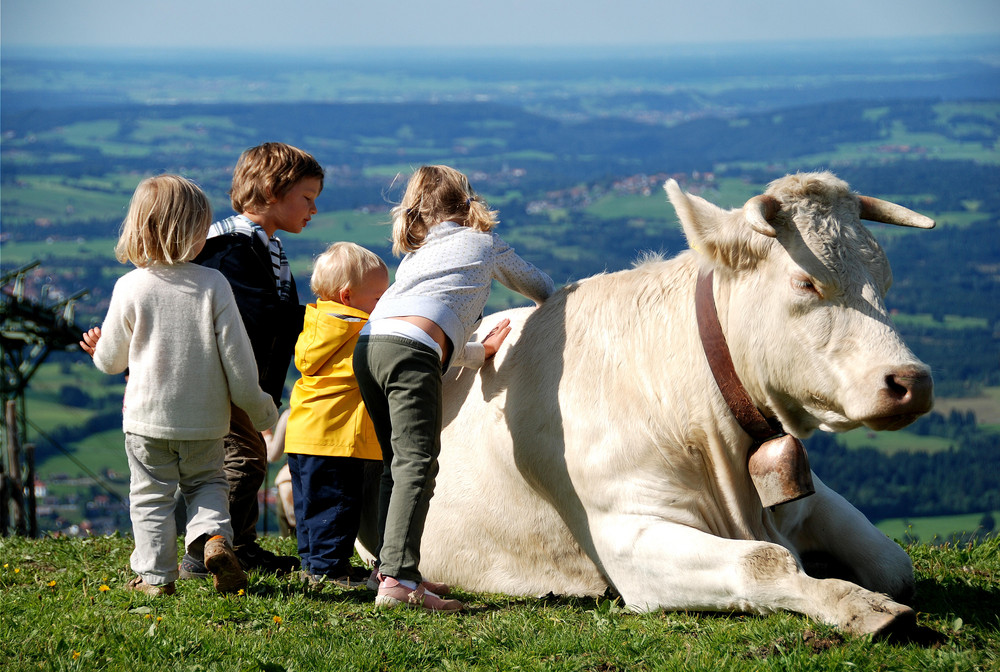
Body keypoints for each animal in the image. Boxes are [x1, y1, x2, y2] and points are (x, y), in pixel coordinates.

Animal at [356, 171, 932, 636]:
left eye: (885, 280)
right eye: (806, 281)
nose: (913, 381)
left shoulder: (809, 500)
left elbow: (893, 562)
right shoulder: (624, 533)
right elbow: (765, 561)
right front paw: (860, 606)